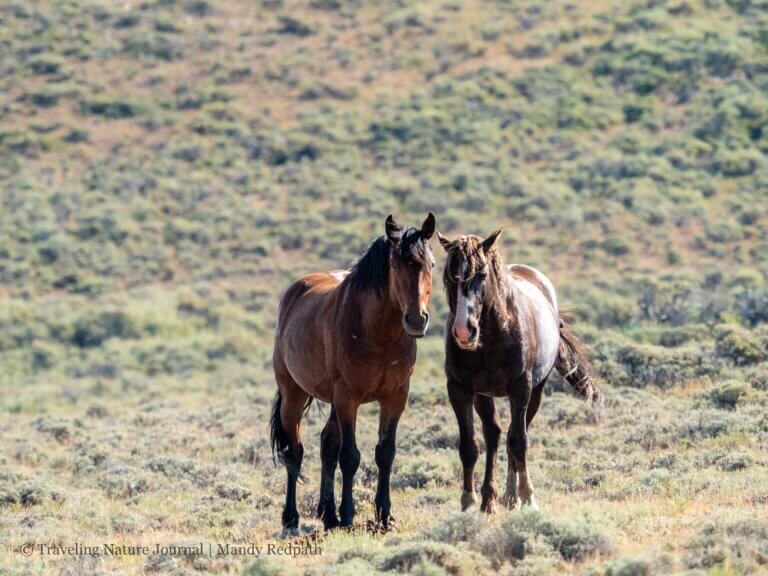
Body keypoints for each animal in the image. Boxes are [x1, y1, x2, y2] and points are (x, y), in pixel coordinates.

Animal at [270, 213, 436, 532]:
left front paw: (384, 516)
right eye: (395, 265)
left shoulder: (396, 397)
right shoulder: (348, 397)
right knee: (294, 451)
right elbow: (349, 456)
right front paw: (348, 515)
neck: (379, 334)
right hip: (294, 394)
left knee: (326, 445)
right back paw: (292, 517)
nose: (416, 320)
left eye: (431, 264)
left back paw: (327, 514)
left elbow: (385, 453)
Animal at [437, 229, 602, 513]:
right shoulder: (459, 389)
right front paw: (468, 501)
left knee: (515, 433)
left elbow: (519, 441)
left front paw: (527, 497)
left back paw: (510, 495)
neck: (493, 337)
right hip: (484, 396)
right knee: (493, 434)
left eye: (482, 273)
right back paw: (490, 499)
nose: (463, 331)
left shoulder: (520, 387)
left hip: (535, 391)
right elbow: (469, 446)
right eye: (450, 275)